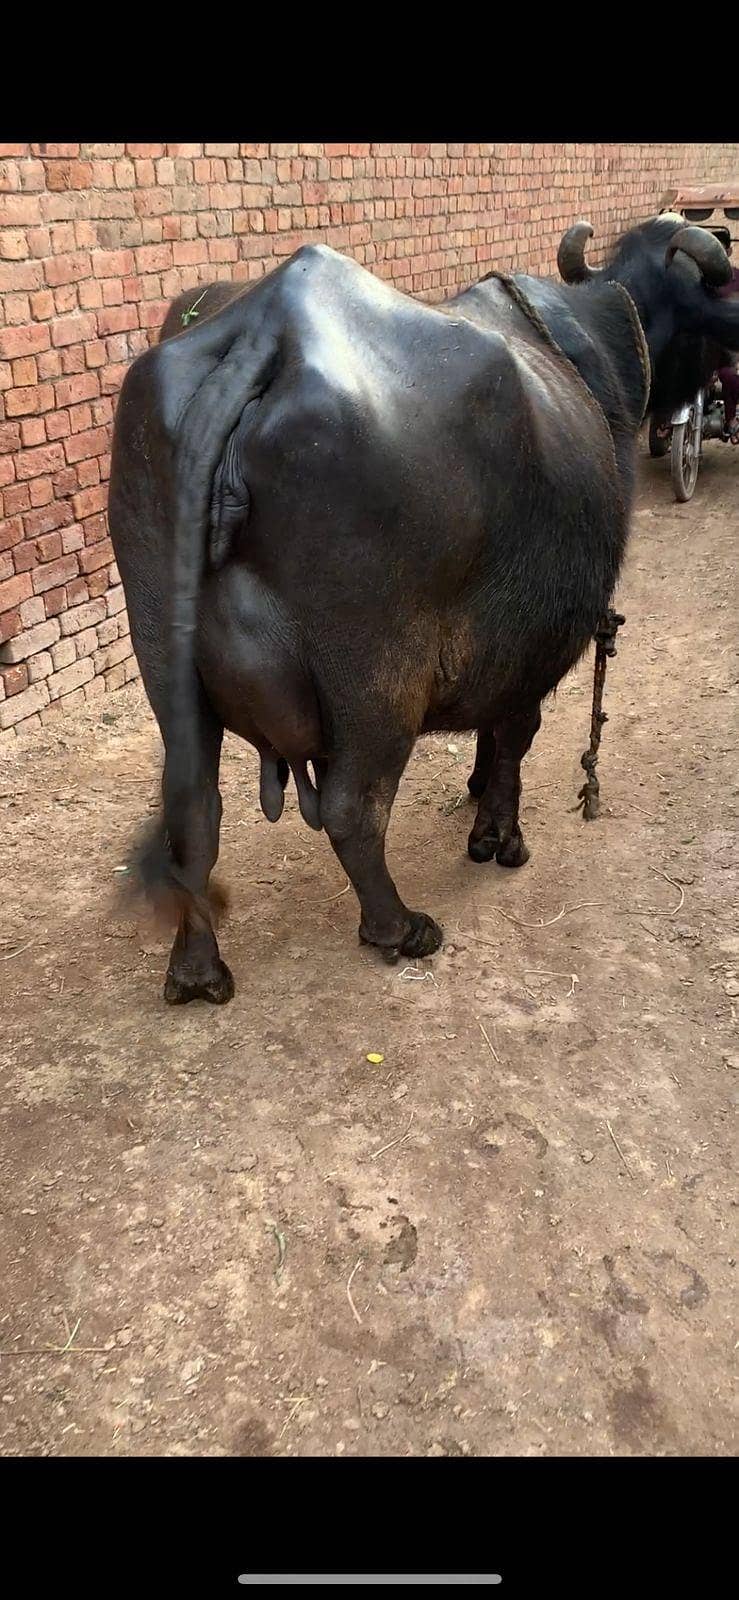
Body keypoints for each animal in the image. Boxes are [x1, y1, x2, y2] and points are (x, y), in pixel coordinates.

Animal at [108, 215, 738, 1003]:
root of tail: (263, 334)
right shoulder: (528, 639)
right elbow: (515, 733)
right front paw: (498, 837)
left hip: (163, 652)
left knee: (192, 807)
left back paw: (196, 969)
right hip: (374, 673)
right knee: (352, 806)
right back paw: (399, 927)